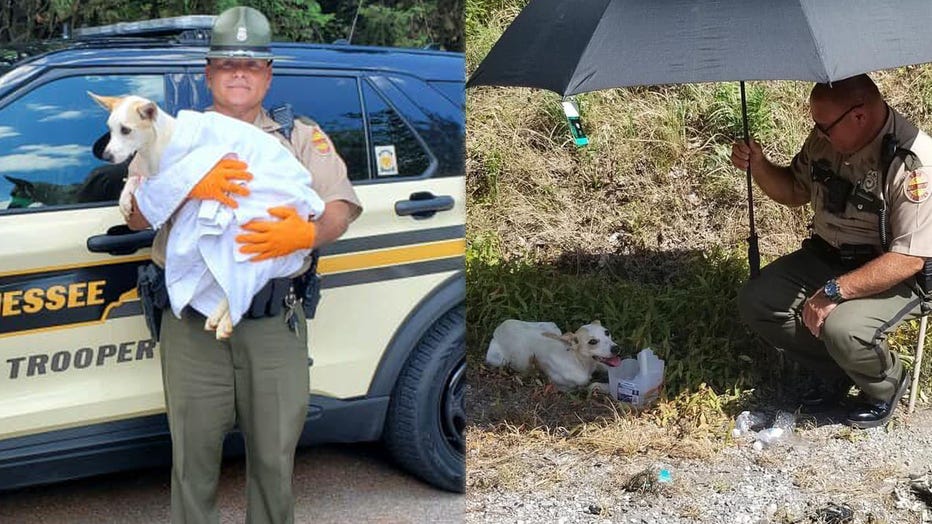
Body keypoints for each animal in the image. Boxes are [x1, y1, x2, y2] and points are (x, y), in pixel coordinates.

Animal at [484, 320, 624, 388]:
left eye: (607, 332)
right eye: (592, 341)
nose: (616, 349)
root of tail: (500, 327)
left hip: (552, 327)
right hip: (496, 360)